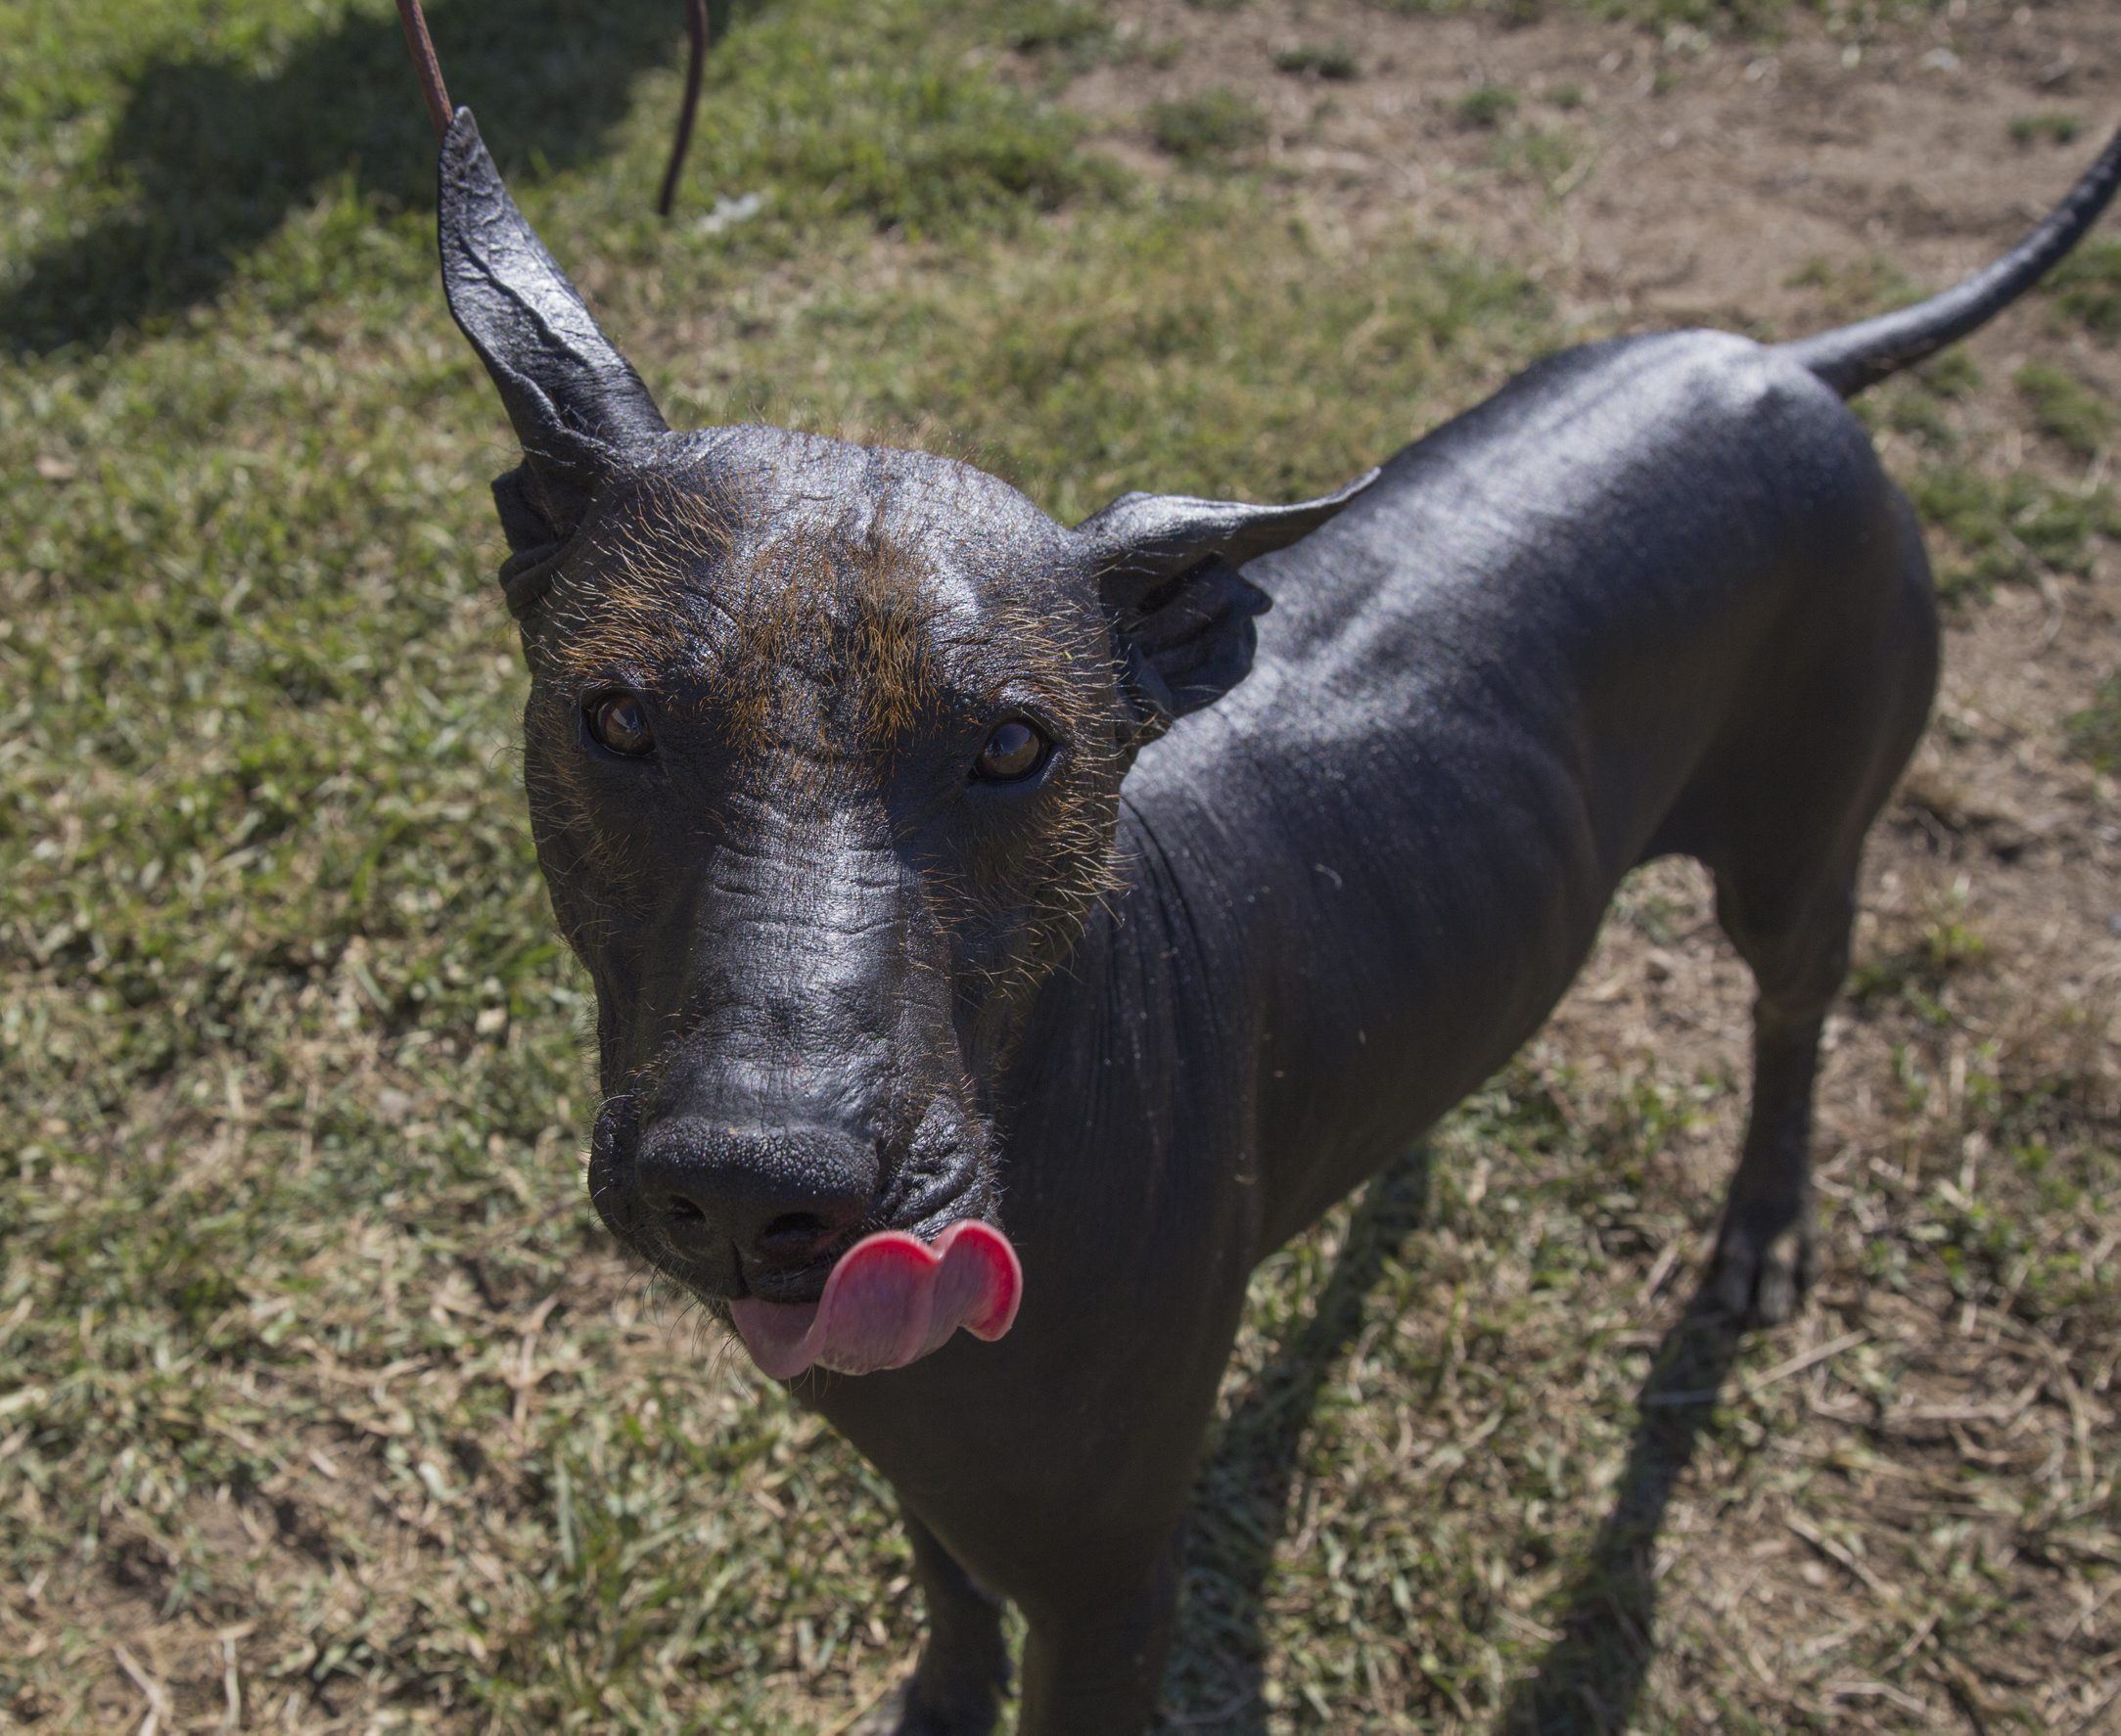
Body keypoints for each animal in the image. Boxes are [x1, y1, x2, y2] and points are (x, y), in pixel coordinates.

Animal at [417, 58, 2121, 1736]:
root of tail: (1772, 361)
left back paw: (1762, 1222)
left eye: (1015, 746)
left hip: (1796, 849)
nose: (751, 1180)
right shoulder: (922, 1462)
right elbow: (947, 1587)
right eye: (616, 716)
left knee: (1792, 1009)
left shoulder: (1109, 1589)